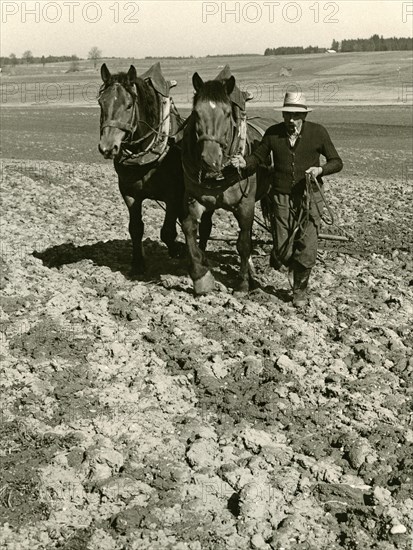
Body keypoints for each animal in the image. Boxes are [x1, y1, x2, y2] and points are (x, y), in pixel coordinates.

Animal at [97, 63, 191, 276]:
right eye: (101, 103)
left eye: (129, 105)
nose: (107, 147)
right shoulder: (130, 193)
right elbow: (135, 228)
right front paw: (138, 263)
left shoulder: (173, 194)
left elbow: (167, 232)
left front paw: (178, 250)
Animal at [182, 70, 272, 296]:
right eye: (196, 112)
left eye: (226, 113)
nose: (209, 159)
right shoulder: (194, 199)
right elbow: (189, 229)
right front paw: (201, 276)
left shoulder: (246, 205)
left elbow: (244, 243)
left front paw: (243, 284)